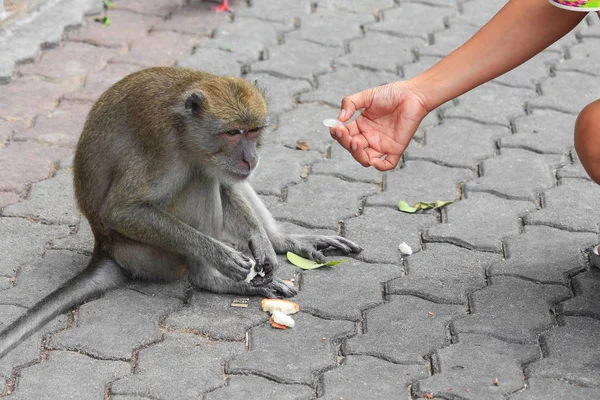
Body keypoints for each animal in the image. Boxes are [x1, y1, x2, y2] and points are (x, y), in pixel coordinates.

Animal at [0, 66, 360, 360]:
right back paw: (213, 279)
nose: (250, 158)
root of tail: (105, 248)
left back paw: (281, 239)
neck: (185, 129)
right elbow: (122, 210)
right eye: (232, 133)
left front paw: (262, 242)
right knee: (200, 180)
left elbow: (227, 183)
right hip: (149, 254)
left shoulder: (215, 157)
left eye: (253, 131)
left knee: (219, 180)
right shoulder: (163, 149)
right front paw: (219, 255)